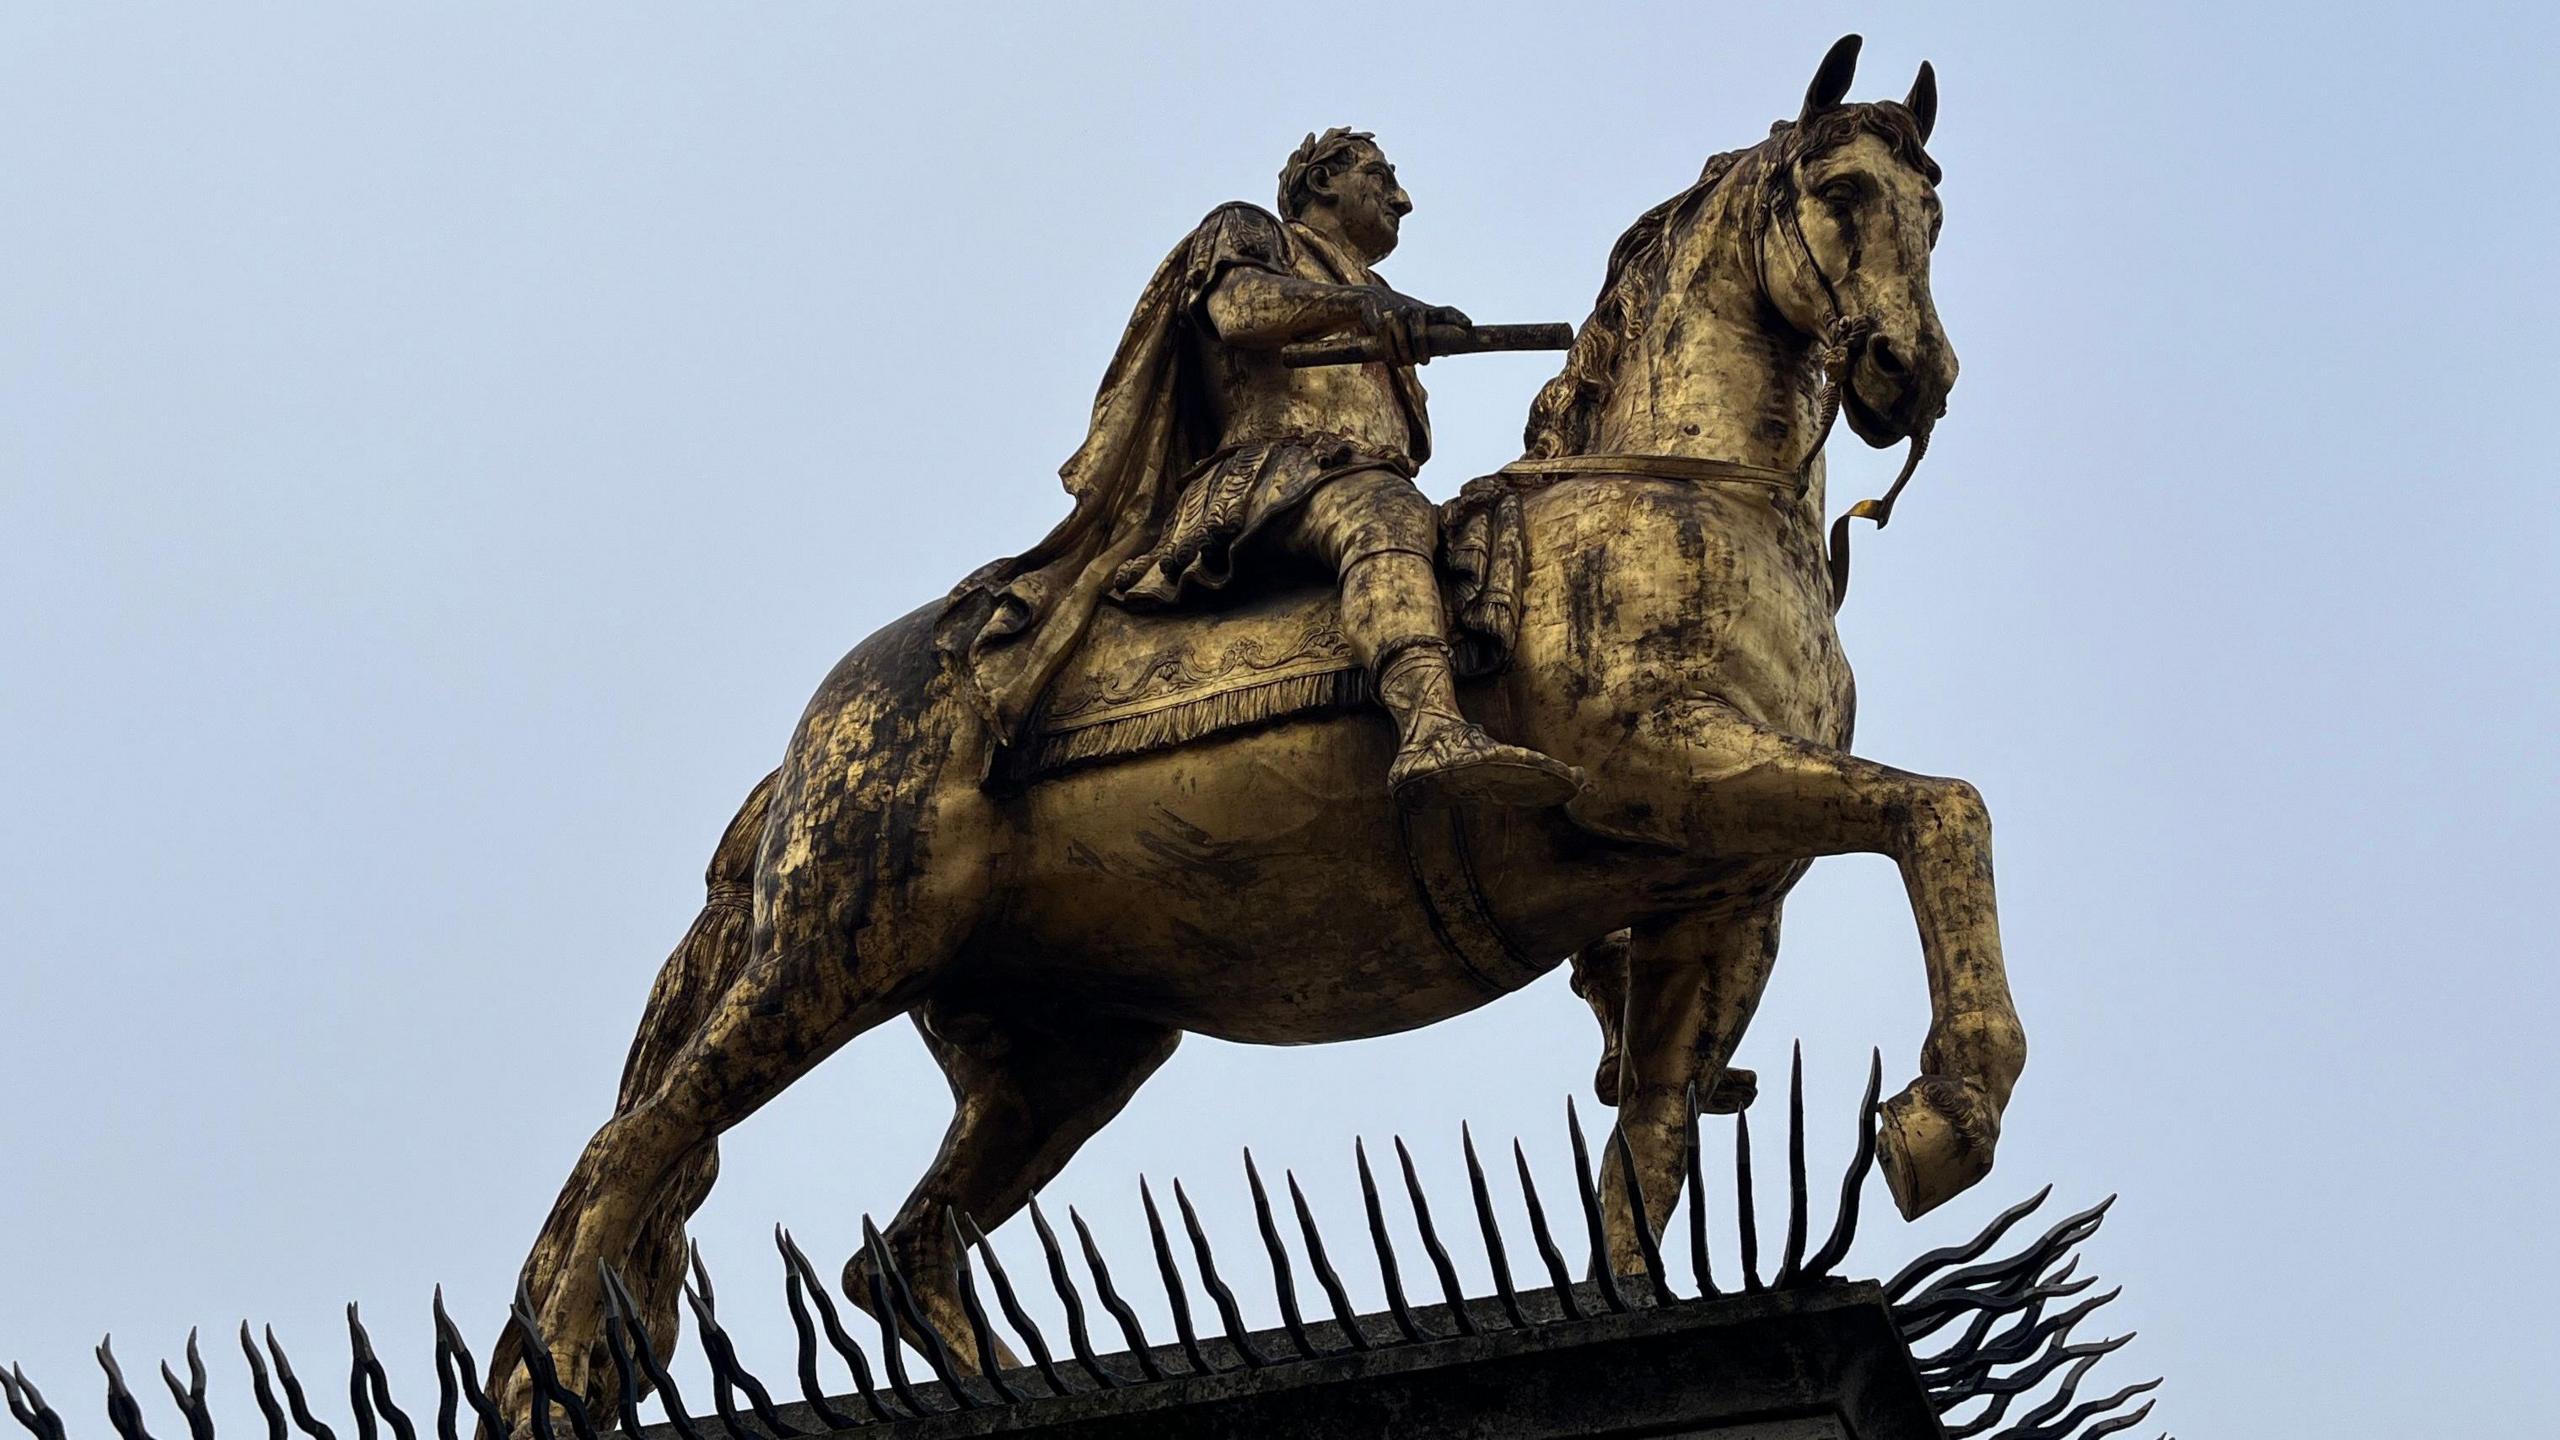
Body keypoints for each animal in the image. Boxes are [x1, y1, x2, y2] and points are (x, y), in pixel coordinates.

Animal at [499, 36, 2017, 1424]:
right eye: (1841, 191)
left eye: (1933, 210)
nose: (1914, 374)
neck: (1679, 487)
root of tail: (806, 751)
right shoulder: (1668, 767)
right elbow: (1942, 807)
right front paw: (1947, 1116)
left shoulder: (1718, 887)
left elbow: (1648, 1138)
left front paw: (1660, 1288)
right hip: (837, 944)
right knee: (631, 1154)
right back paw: (556, 1386)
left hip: (1061, 1044)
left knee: (900, 1252)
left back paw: (1009, 1393)